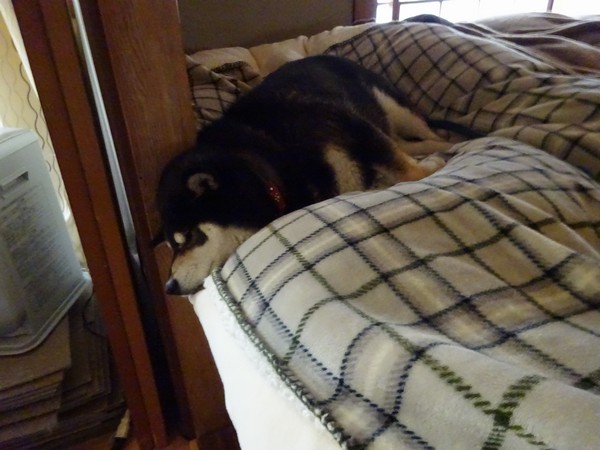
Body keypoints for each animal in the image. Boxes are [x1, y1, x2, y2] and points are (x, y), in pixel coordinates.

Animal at [158, 55, 455, 295]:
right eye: (172, 245)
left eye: (191, 235)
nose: (169, 287)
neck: (274, 156)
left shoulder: (353, 127)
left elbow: (408, 172)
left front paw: (430, 168)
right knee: (410, 142)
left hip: (394, 108)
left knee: (431, 135)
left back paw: (451, 144)